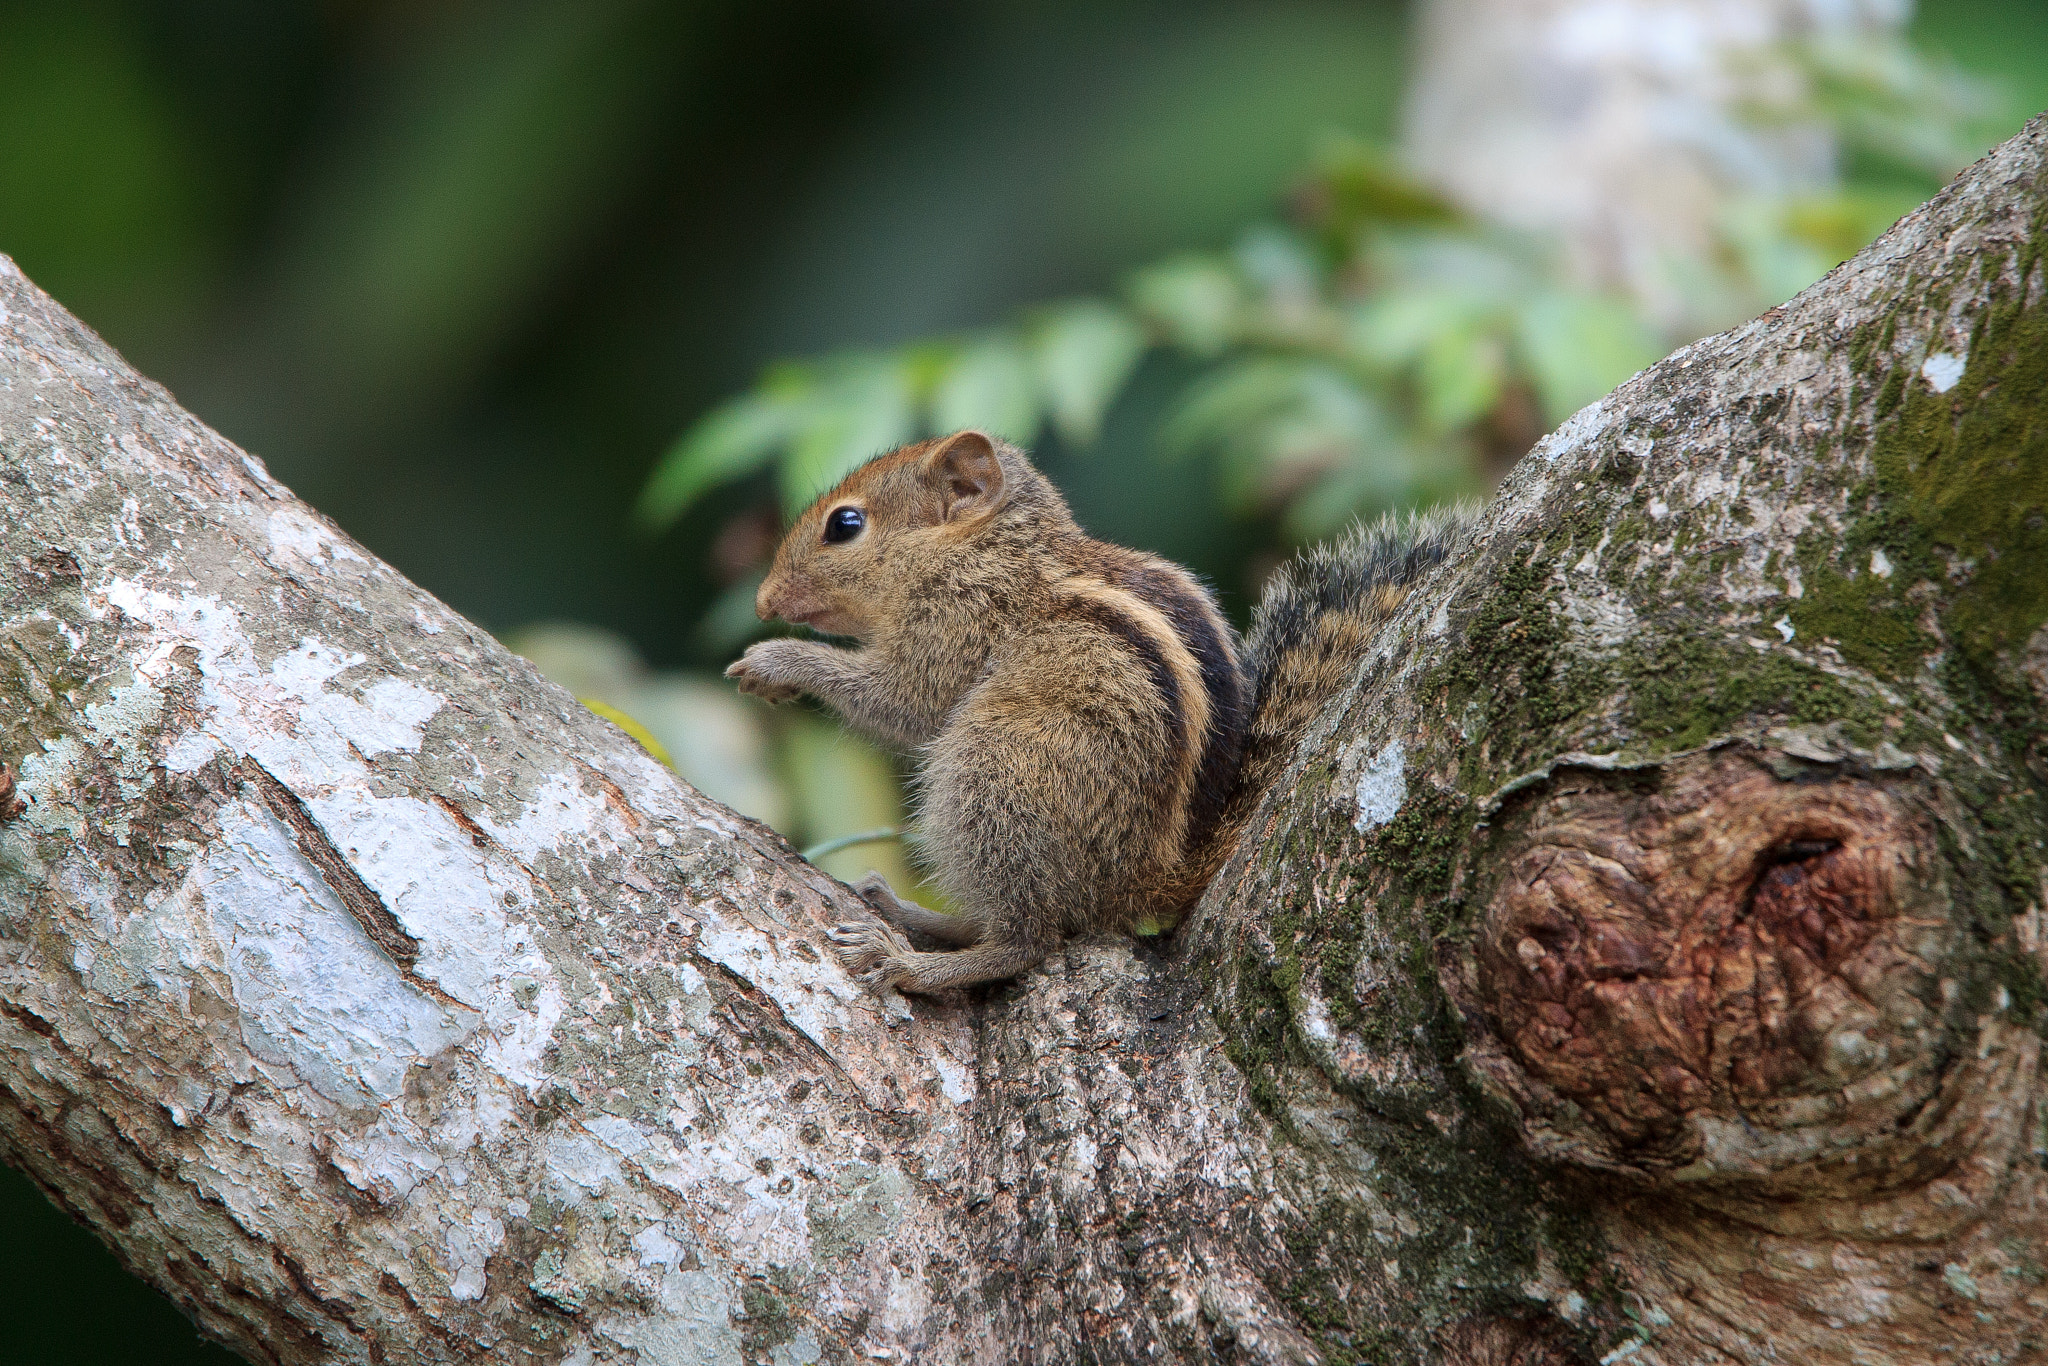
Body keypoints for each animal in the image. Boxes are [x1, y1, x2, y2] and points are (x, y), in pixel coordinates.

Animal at [726, 430, 1470, 994]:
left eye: (845, 525)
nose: (762, 602)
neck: (986, 550)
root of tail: (1152, 874)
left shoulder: (955, 629)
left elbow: (902, 701)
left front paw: (776, 661)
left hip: (996, 769)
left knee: (1028, 939)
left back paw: (911, 961)